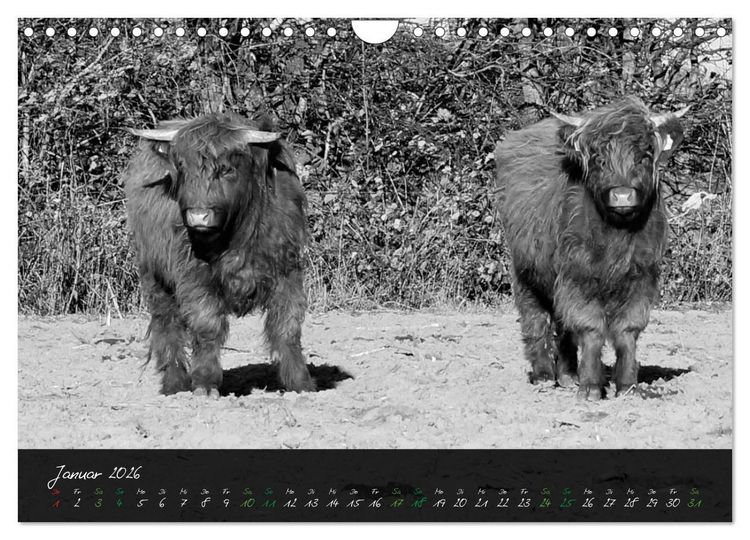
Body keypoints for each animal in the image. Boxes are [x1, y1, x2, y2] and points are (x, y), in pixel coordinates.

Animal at [123, 112, 316, 397]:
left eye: (227, 169)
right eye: (181, 168)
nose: (198, 216)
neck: (237, 235)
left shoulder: (287, 271)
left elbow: (287, 325)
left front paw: (301, 383)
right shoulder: (194, 277)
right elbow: (207, 325)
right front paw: (205, 383)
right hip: (154, 278)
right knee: (167, 325)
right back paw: (174, 384)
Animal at [494, 97, 688, 400]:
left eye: (644, 156)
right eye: (599, 159)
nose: (622, 195)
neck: (617, 237)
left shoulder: (642, 276)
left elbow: (628, 330)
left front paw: (627, 386)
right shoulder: (579, 276)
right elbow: (590, 328)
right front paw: (591, 387)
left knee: (562, 324)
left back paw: (567, 375)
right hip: (525, 271)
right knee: (535, 318)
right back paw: (543, 375)